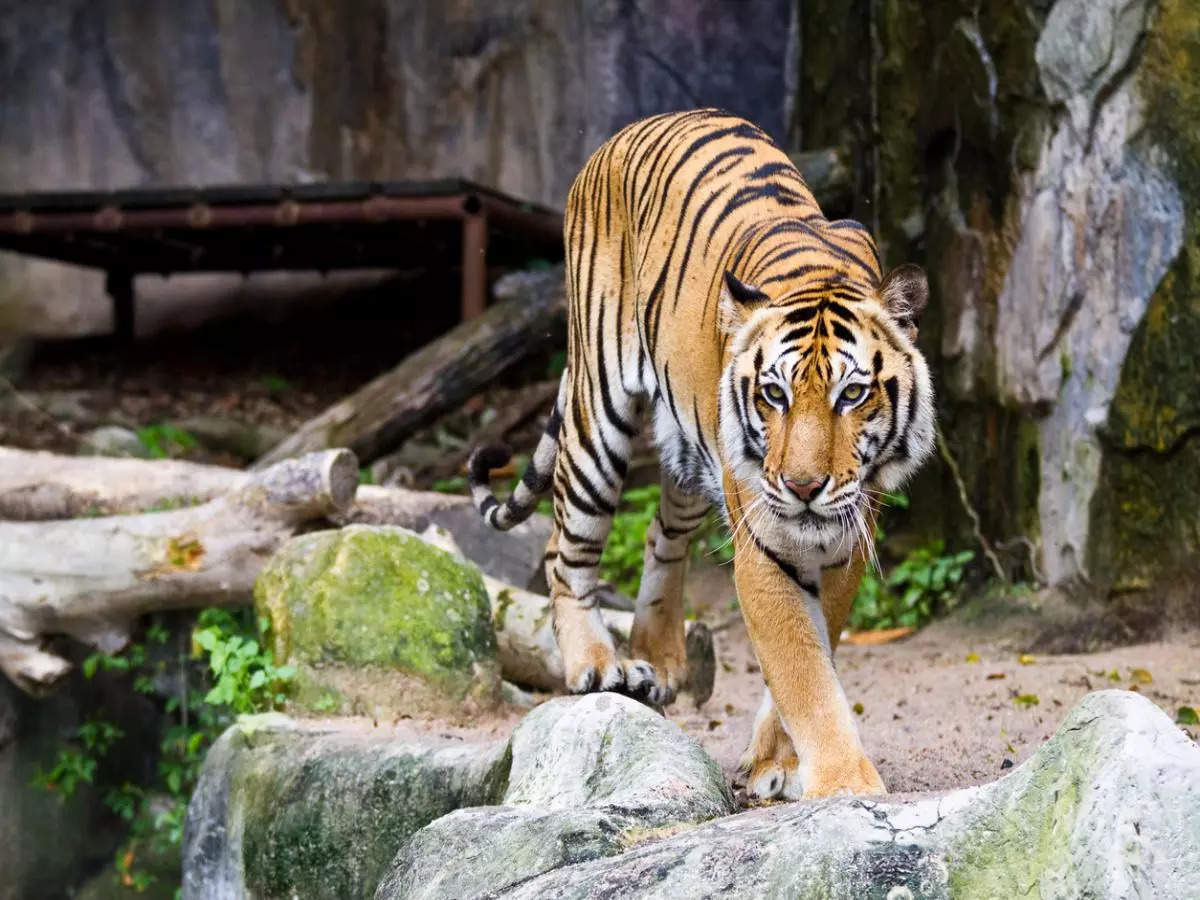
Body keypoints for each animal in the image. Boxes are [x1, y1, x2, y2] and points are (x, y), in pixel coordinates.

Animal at [468, 107, 936, 801]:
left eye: (852, 394)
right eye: (774, 393)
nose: (803, 488)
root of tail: (630, 130)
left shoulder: (846, 539)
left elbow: (814, 651)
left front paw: (777, 763)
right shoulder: (765, 543)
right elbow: (801, 668)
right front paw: (844, 785)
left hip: (689, 451)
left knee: (661, 537)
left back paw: (659, 660)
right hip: (598, 412)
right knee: (564, 550)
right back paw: (597, 666)